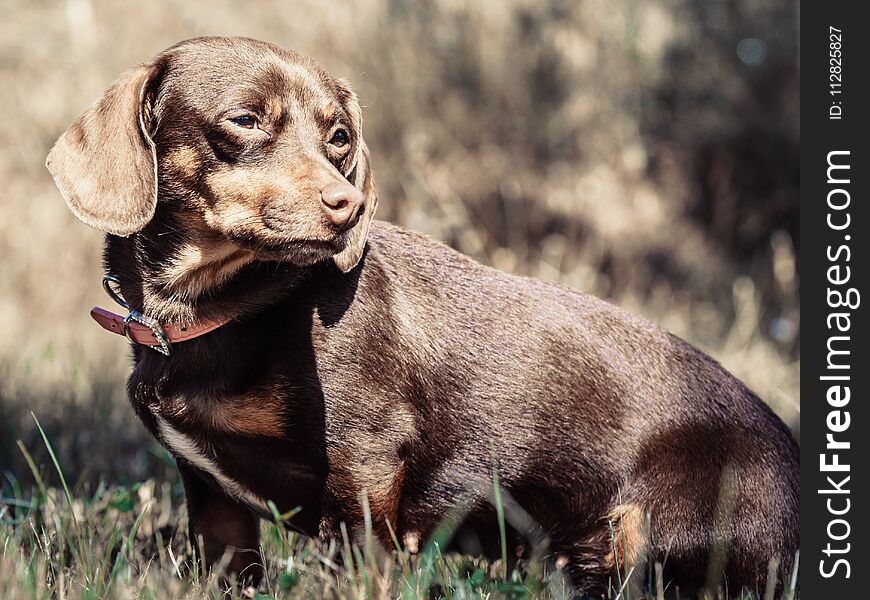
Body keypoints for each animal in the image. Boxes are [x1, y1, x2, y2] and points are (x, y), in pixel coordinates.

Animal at [46, 37, 796, 596]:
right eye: (244, 120)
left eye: (339, 136)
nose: (348, 206)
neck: (230, 307)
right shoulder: (214, 502)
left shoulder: (365, 467)